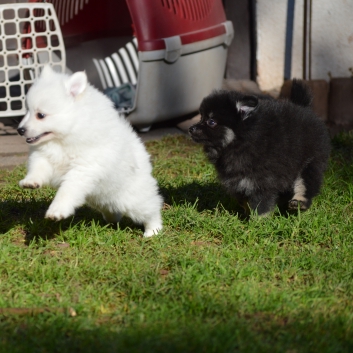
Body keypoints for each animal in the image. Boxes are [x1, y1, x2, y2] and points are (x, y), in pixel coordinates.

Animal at [17, 66, 162, 236]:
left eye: (41, 115)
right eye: (27, 111)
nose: (20, 130)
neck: (63, 139)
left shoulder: (83, 169)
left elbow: (67, 190)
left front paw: (56, 211)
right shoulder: (43, 156)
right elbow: (37, 169)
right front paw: (30, 182)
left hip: (134, 199)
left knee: (151, 208)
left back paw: (153, 230)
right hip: (102, 199)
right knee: (112, 210)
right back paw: (113, 220)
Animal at [190, 80, 330, 214]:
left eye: (211, 122)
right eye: (201, 117)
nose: (191, 129)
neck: (240, 141)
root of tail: (304, 108)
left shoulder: (261, 181)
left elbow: (261, 205)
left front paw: (258, 221)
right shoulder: (237, 182)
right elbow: (244, 201)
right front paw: (245, 215)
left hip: (311, 162)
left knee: (305, 183)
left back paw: (299, 202)